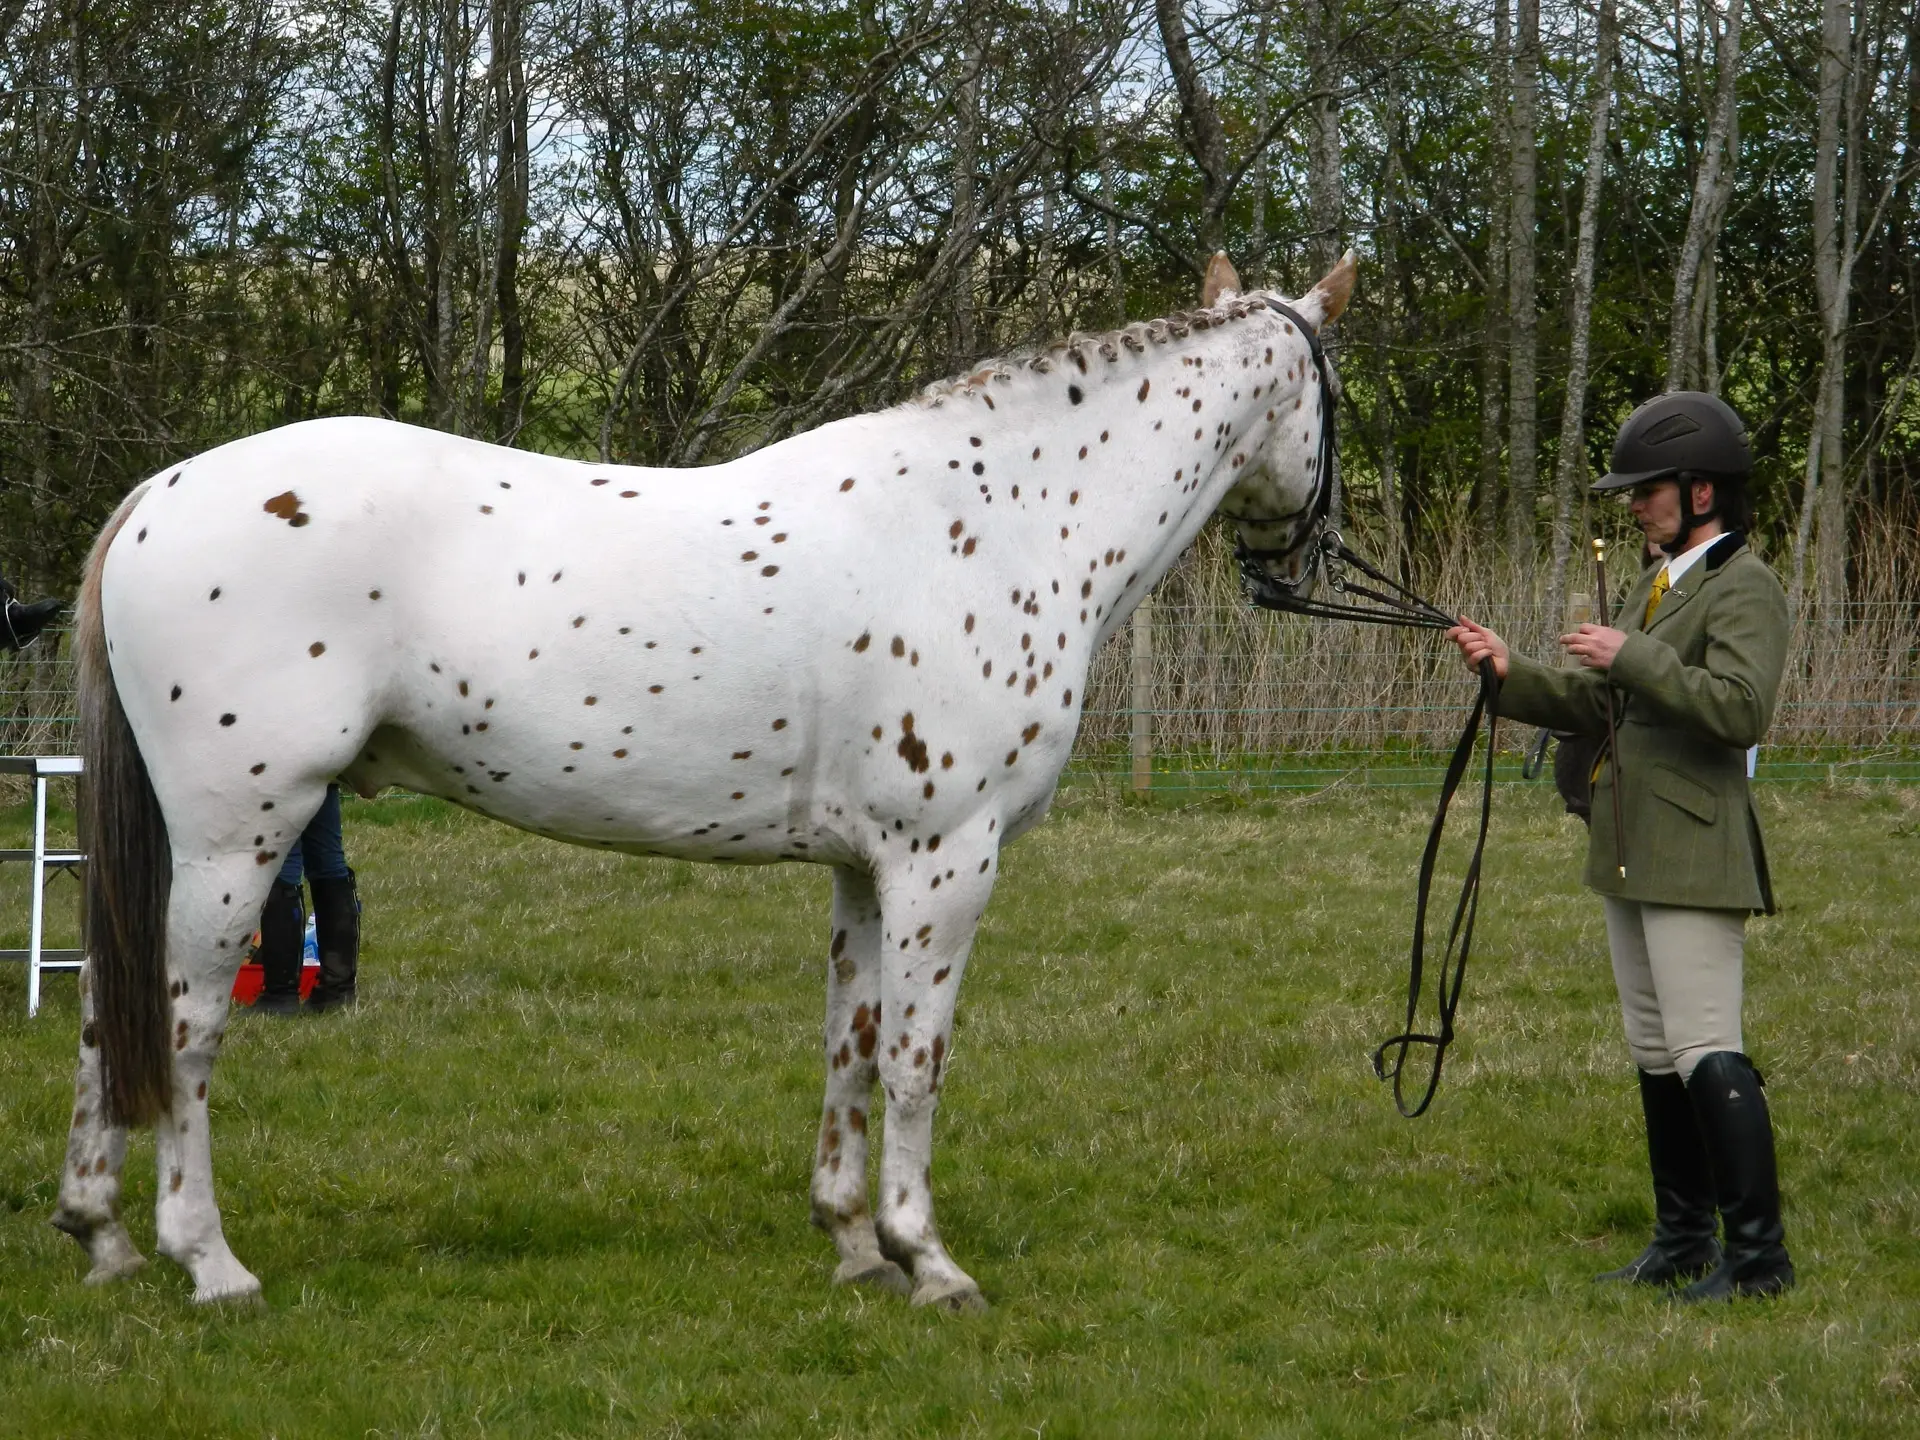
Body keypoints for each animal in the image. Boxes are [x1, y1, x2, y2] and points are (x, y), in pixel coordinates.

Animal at [56, 253, 1351, 1313]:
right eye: (1335, 394)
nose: (1304, 556)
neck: (992, 525)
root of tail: (157, 496)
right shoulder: (946, 859)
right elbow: (916, 1062)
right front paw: (928, 1258)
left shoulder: (866, 870)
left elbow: (850, 1042)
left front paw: (854, 1244)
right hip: (239, 836)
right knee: (185, 1025)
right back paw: (207, 1262)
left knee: (108, 1010)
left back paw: (99, 1234)